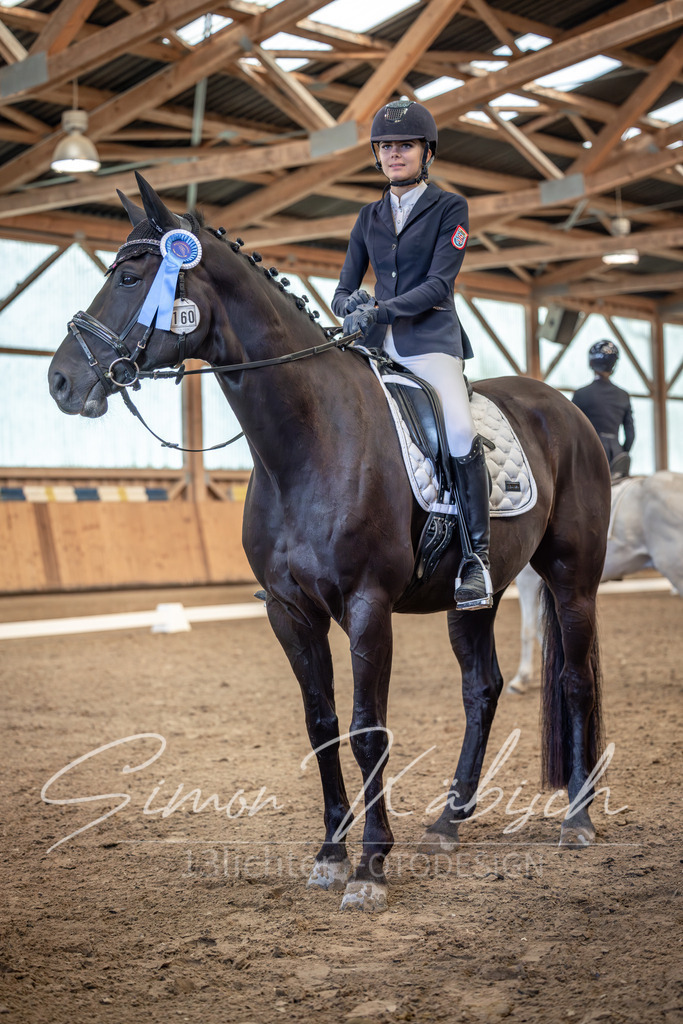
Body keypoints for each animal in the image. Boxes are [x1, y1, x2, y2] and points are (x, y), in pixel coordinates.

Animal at [48, 173, 611, 912]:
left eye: (132, 273)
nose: (61, 381)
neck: (309, 440)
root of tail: (565, 406)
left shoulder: (367, 605)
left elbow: (368, 728)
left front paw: (370, 867)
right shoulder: (289, 611)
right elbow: (321, 726)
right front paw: (330, 855)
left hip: (572, 579)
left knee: (573, 680)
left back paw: (576, 817)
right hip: (474, 597)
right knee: (481, 689)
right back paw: (447, 822)